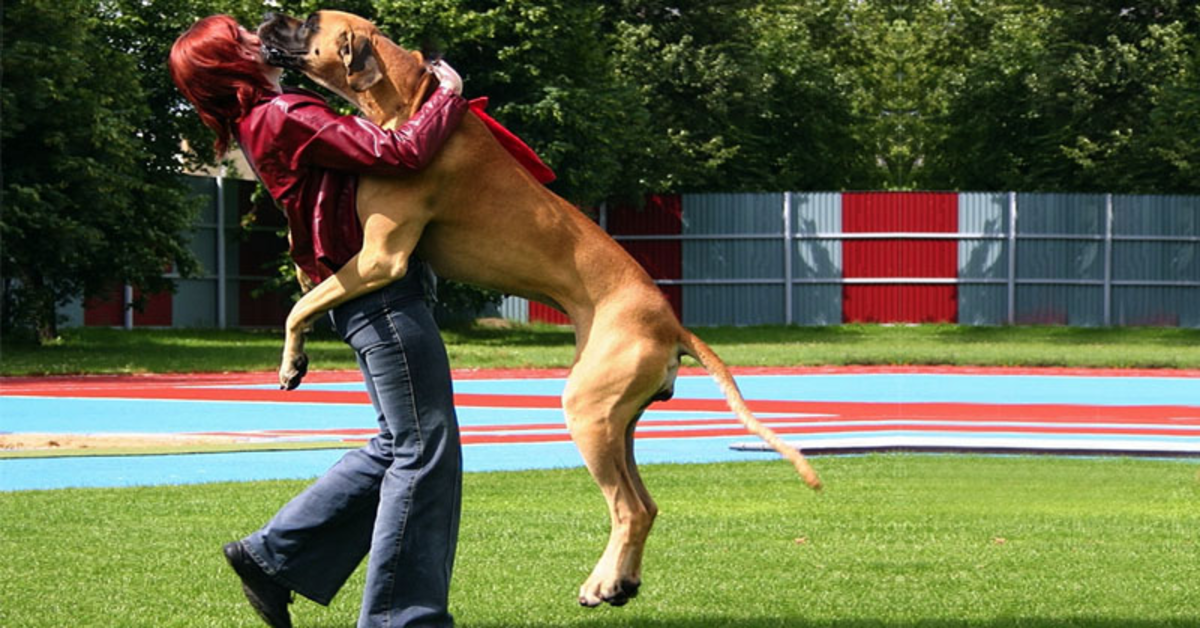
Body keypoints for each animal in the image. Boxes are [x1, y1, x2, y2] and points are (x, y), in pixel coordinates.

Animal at [253, 9, 816, 609]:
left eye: (308, 21)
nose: (266, 15)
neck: (408, 98)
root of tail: (672, 322)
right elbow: (308, 291)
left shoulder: (380, 256)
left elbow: (300, 304)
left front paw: (291, 362)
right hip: (618, 419)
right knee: (646, 503)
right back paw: (622, 581)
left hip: (588, 410)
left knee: (629, 508)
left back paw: (600, 584)